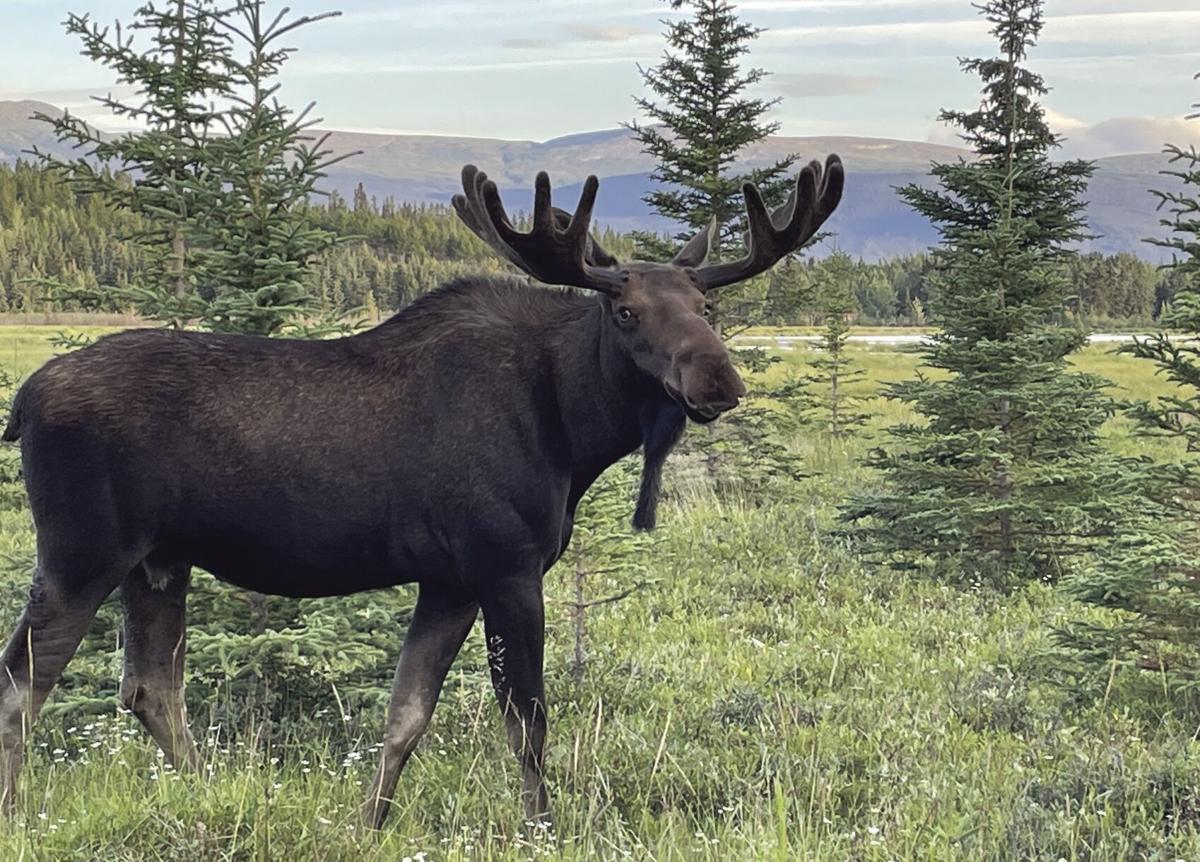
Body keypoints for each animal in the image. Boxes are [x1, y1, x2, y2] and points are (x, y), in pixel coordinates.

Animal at [0, 155, 843, 827]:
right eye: (628, 310)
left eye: (707, 307)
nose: (719, 380)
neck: (574, 433)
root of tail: (22, 404)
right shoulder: (505, 564)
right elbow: (527, 721)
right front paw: (544, 827)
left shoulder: (447, 579)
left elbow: (406, 716)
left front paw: (369, 824)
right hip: (82, 550)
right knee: (22, 683)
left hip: (157, 560)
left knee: (148, 688)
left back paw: (215, 794)